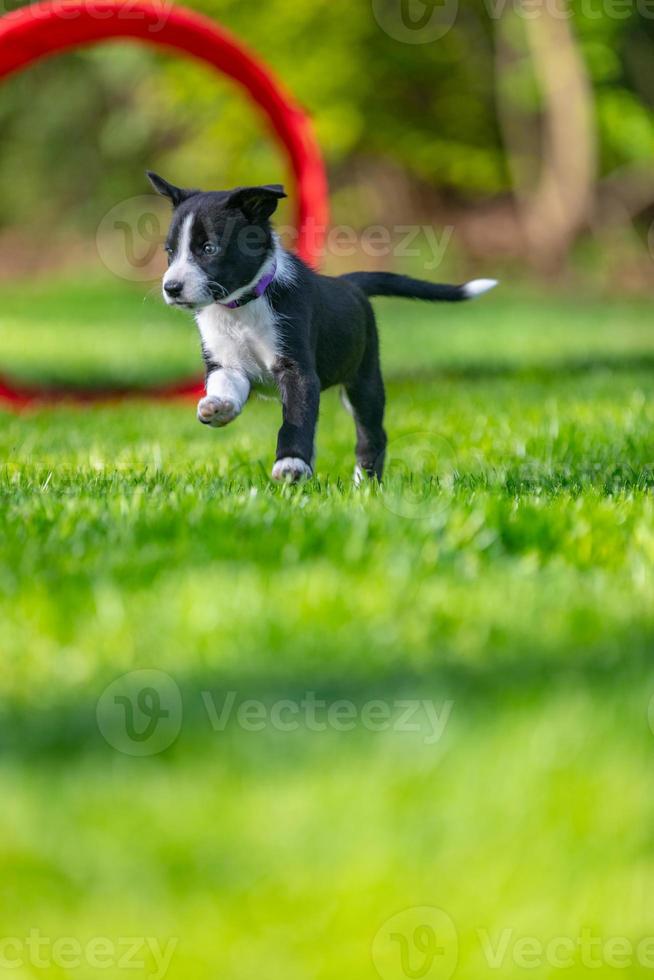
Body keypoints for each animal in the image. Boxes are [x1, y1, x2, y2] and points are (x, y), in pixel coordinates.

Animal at [147, 175, 498, 486]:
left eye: (209, 249)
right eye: (169, 252)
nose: (171, 288)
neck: (240, 307)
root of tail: (350, 283)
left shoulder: (298, 371)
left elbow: (296, 419)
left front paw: (291, 462)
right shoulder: (226, 363)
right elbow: (226, 385)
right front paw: (219, 407)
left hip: (364, 381)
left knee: (371, 436)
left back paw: (364, 485)